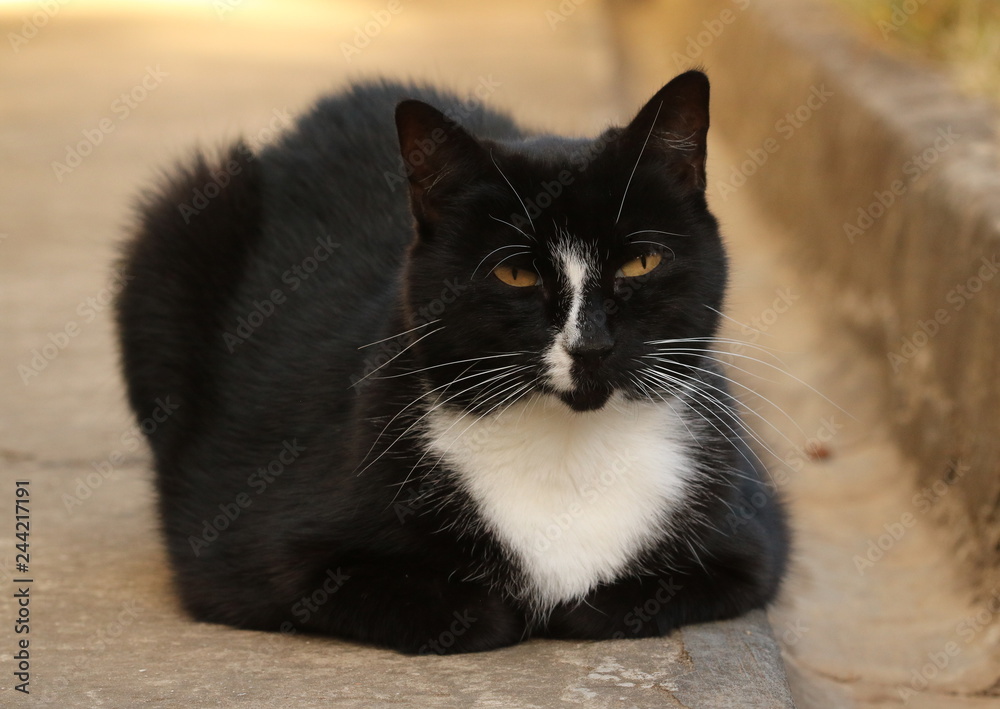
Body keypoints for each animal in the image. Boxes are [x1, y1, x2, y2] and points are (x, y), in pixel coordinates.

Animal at [117, 69, 788, 648]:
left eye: (640, 263)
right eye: (515, 274)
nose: (591, 345)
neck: (569, 449)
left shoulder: (752, 538)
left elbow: (618, 601)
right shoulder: (258, 553)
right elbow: (462, 610)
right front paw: (505, 610)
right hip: (180, 223)